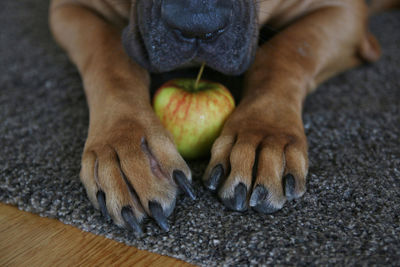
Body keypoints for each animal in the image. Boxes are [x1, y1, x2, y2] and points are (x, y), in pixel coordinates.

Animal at [48, 0, 396, 234]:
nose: (196, 25)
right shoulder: (68, 8)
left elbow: (284, 53)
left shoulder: (344, 13)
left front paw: (263, 137)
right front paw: (126, 150)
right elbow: (111, 62)